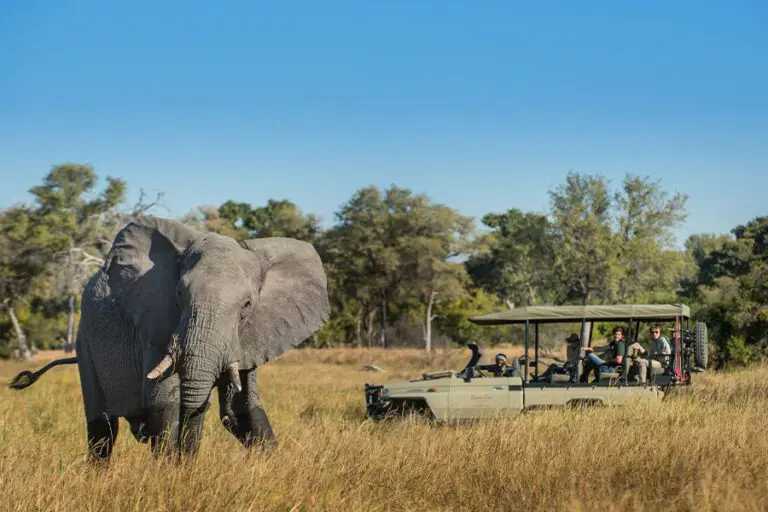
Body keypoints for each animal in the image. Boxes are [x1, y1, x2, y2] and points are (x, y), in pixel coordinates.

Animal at [9, 216, 330, 464]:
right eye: (179, 294)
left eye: (247, 306)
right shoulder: (154, 322)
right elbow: (165, 402)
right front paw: (171, 474)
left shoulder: (252, 334)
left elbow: (244, 408)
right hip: (85, 339)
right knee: (102, 429)